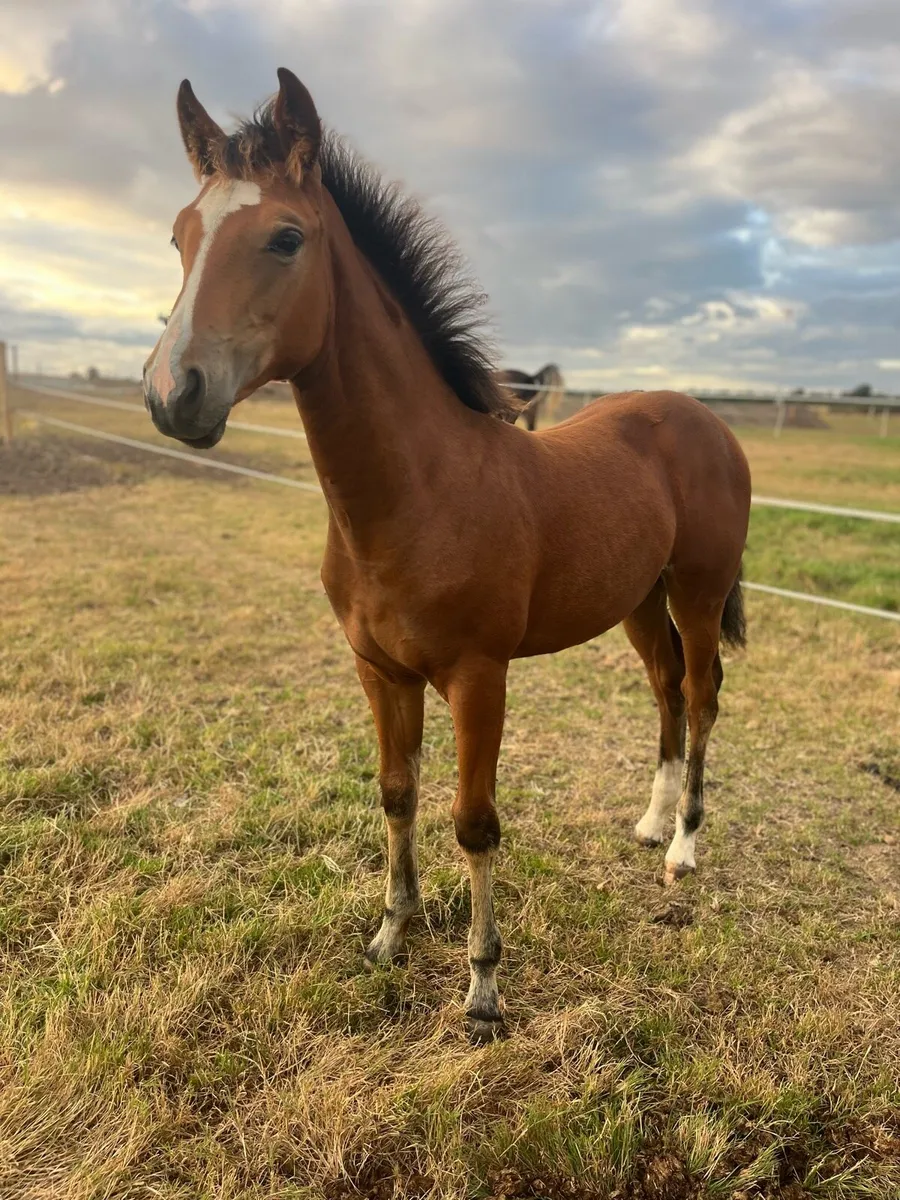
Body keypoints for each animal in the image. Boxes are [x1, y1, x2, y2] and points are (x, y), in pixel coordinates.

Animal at [143, 69, 751, 1042]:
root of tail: (705, 418)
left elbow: (475, 821)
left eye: (286, 237)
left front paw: (483, 992)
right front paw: (392, 935)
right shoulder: (378, 670)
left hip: (696, 592)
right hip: (636, 600)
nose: (173, 395)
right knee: (663, 688)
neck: (420, 491)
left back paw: (686, 848)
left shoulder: (478, 675)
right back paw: (652, 825)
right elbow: (397, 793)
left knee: (700, 694)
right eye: (180, 235)